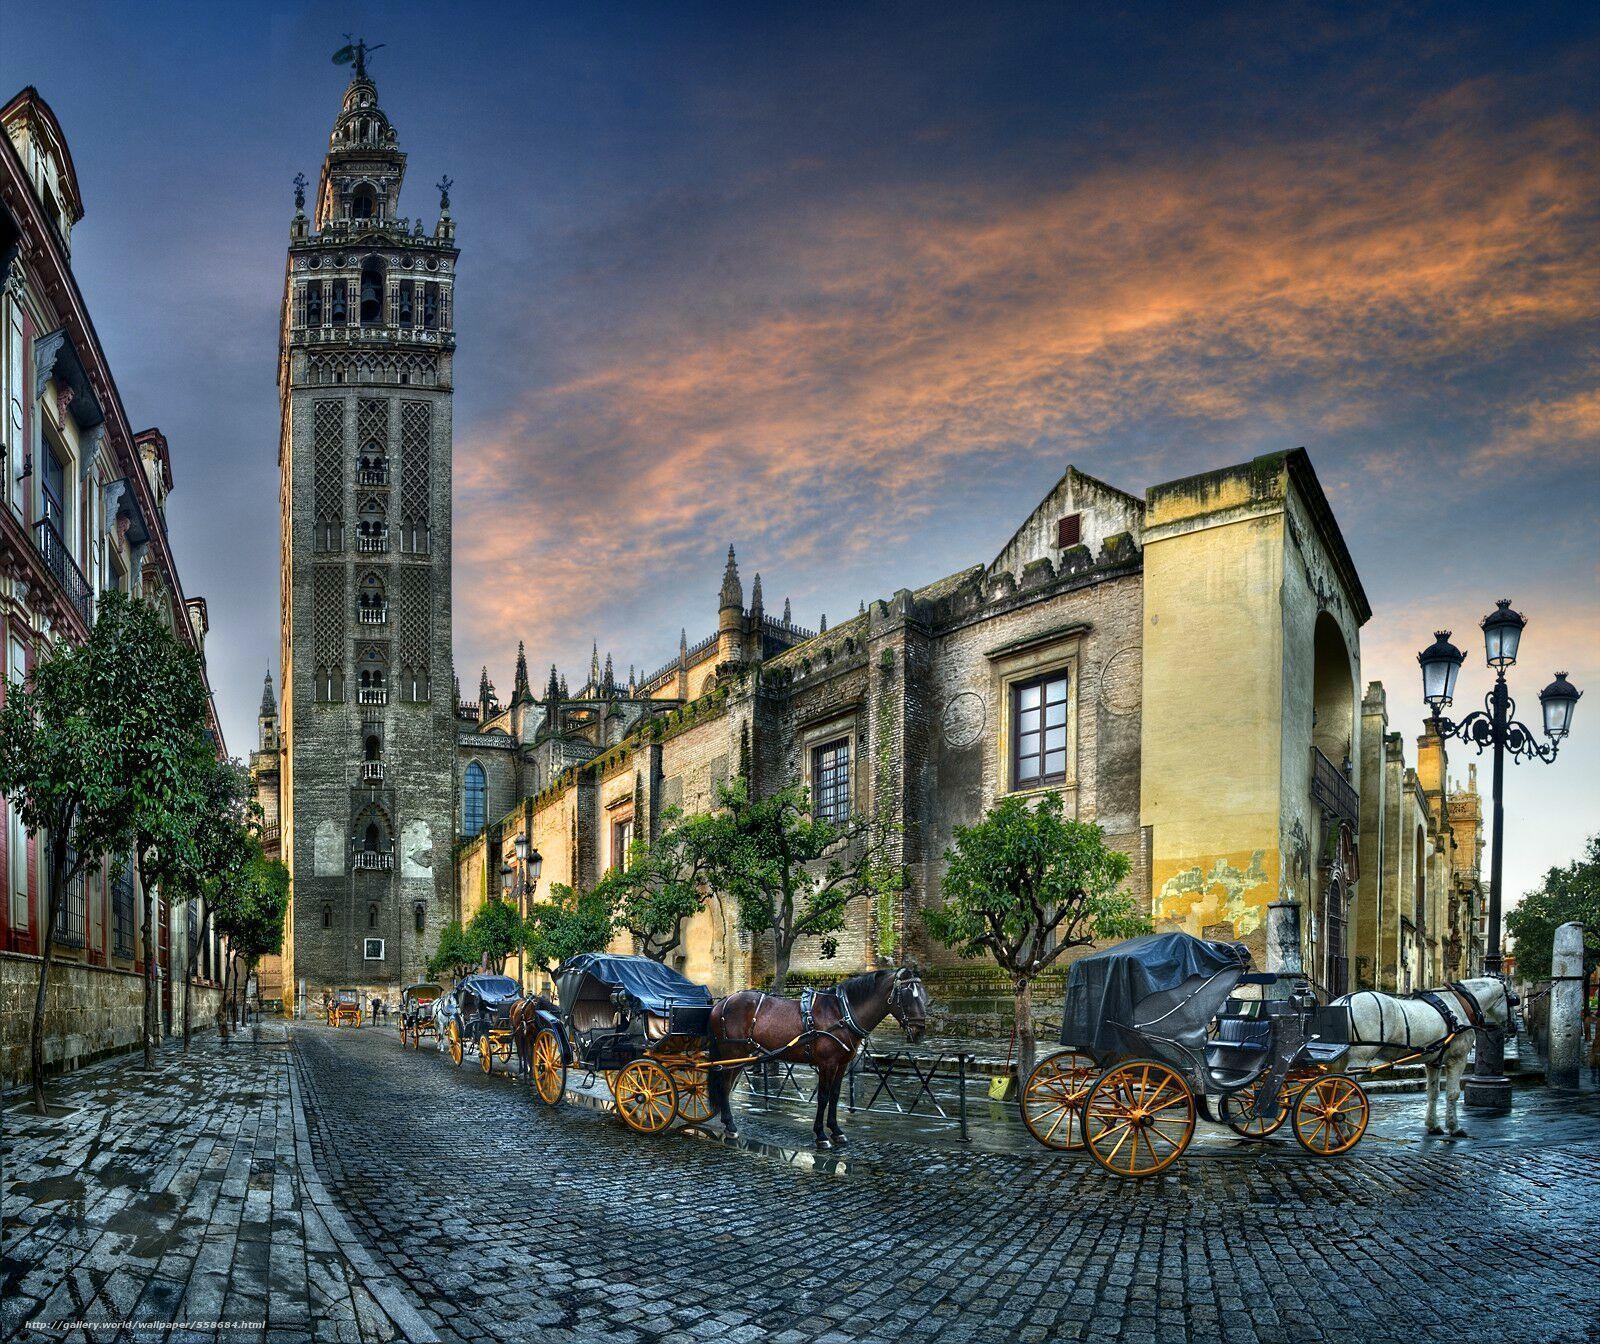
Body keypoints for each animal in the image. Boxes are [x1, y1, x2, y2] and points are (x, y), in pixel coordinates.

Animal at [710, 966, 934, 1145]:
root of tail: (721, 1003)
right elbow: (823, 1096)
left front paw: (836, 1130)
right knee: (724, 1085)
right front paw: (821, 1135)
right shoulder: (827, 1064)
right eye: (908, 996)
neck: (842, 1013)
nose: (920, 1032)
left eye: (923, 995)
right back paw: (730, 1126)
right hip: (733, 1053)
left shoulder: (842, 1064)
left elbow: (834, 1096)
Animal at [1337, 979, 1510, 1132]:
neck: (1459, 1004)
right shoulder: (1458, 1059)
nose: (1512, 1027)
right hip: (1359, 1059)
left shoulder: (1433, 1062)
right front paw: (1454, 1127)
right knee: (1345, 1089)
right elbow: (1453, 1094)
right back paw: (1347, 1129)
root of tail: (1342, 1003)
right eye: (1513, 1000)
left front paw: (1433, 1125)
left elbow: (1433, 1093)